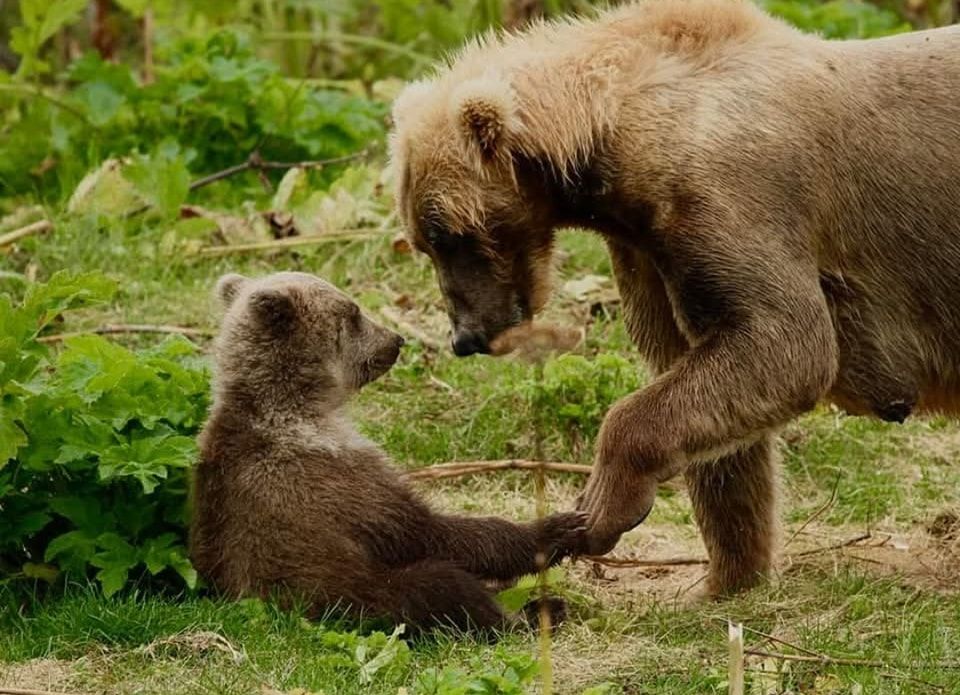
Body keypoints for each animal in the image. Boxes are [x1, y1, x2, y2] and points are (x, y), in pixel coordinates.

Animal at [388, 1, 960, 600]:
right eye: (423, 237)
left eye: (447, 233)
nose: (466, 335)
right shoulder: (648, 252)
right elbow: (710, 400)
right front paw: (725, 577)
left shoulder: (730, 196)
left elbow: (785, 341)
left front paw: (598, 511)